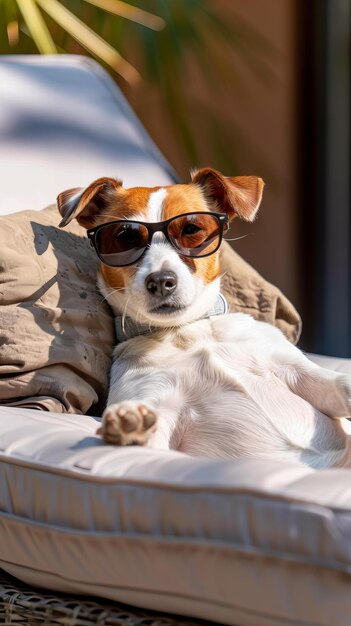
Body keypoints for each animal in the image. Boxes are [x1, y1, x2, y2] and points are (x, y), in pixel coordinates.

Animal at [57, 168, 351, 466]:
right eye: (125, 237)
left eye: (191, 229)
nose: (161, 281)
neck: (185, 331)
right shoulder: (159, 400)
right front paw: (133, 426)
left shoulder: (290, 366)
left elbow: (335, 383)